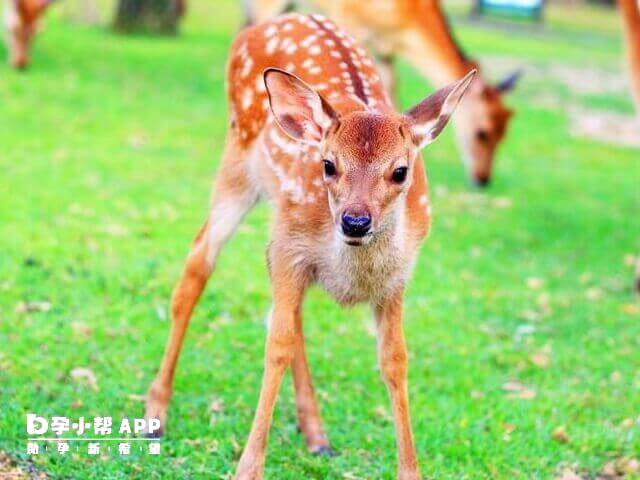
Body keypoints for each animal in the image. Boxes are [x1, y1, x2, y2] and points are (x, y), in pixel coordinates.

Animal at [144, 12, 476, 480]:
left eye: (400, 171)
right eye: (328, 165)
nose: (355, 220)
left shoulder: (398, 276)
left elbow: (395, 359)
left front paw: (409, 470)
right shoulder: (293, 246)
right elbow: (276, 345)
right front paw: (248, 468)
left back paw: (316, 433)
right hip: (238, 164)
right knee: (198, 263)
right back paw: (155, 412)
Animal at [245, 0, 520, 187]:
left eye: (504, 136)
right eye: (482, 133)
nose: (482, 179)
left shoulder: (386, 50)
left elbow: (391, 90)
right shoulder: (348, 17)